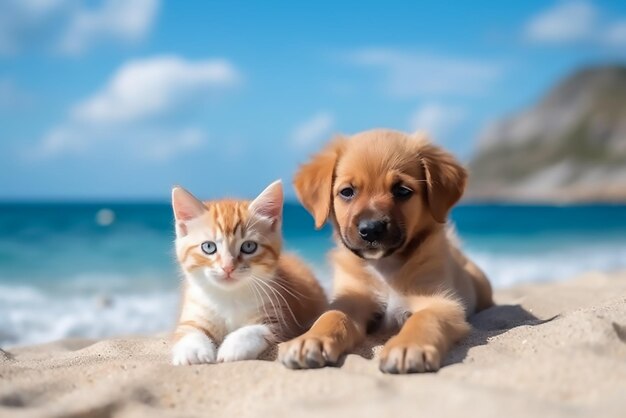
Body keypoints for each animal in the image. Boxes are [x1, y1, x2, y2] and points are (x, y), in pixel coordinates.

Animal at [171, 181, 326, 364]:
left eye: (249, 246)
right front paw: (192, 351)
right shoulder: (195, 311)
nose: (228, 267)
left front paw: (232, 347)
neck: (229, 295)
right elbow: (189, 331)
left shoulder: (280, 320)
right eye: (208, 247)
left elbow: (254, 330)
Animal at [278, 129, 492, 374]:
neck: (384, 267)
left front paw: (409, 346)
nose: (371, 229)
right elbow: (331, 315)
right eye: (347, 192)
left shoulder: (442, 303)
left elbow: (424, 318)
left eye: (402, 191)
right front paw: (311, 339)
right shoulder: (351, 301)